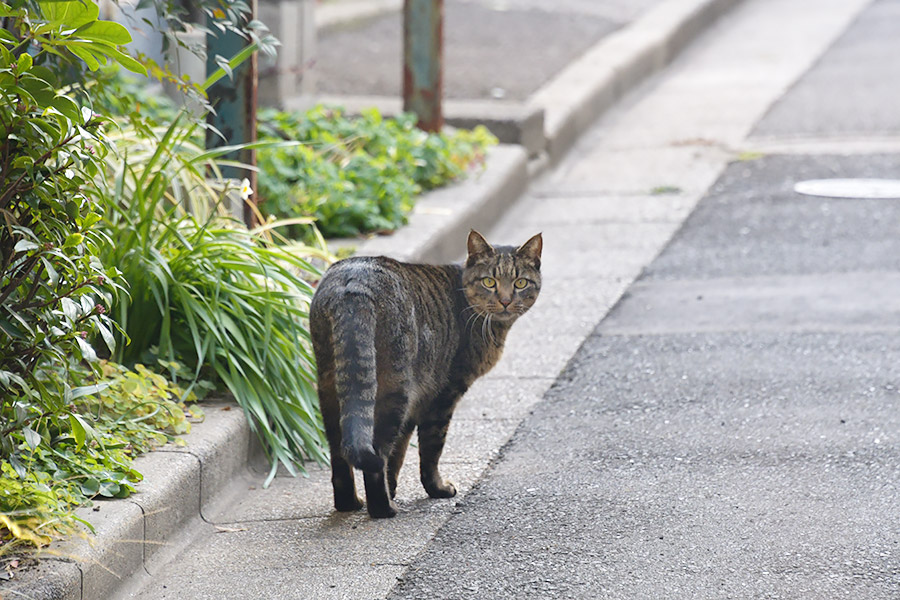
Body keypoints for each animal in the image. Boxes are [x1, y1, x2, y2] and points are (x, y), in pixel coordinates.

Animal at [310, 227, 540, 516]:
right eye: (489, 282)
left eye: (520, 283)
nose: (506, 301)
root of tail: (354, 282)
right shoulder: (442, 396)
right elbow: (430, 450)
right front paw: (437, 489)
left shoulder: (416, 403)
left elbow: (398, 454)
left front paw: (394, 488)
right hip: (394, 389)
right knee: (377, 454)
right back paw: (384, 509)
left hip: (330, 386)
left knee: (340, 454)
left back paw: (349, 503)